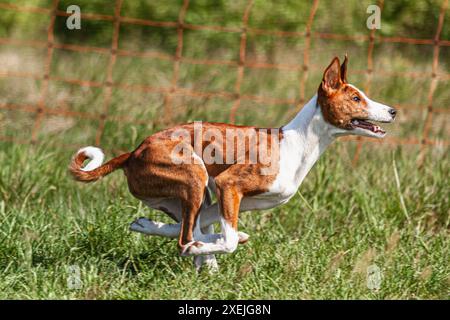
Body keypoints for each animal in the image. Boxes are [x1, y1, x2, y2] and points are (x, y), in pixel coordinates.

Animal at [68, 56, 396, 272]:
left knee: (190, 229)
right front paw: (217, 244)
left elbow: (212, 231)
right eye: (356, 98)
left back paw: (157, 230)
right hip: (195, 175)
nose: (392, 110)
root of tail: (133, 153)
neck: (295, 143)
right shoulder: (230, 186)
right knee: (187, 237)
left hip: (194, 193)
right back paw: (202, 249)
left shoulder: (241, 199)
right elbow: (226, 241)